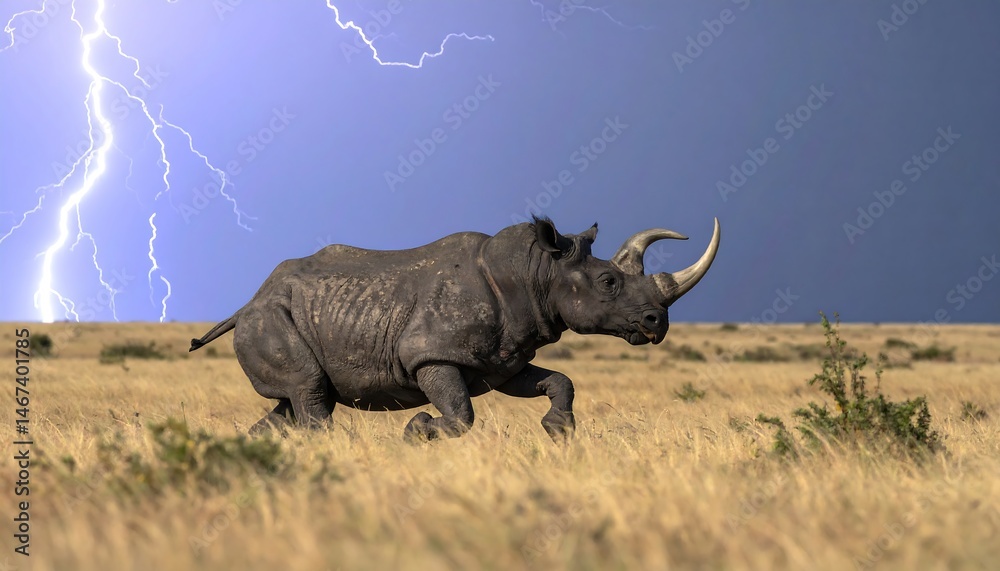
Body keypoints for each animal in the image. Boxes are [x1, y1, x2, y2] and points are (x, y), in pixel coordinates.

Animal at [190, 217, 720, 441]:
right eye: (608, 282)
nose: (657, 323)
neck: (537, 273)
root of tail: (246, 303)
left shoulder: (505, 360)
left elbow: (558, 381)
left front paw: (558, 431)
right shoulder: (431, 353)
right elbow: (461, 415)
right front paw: (418, 430)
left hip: (284, 315)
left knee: (295, 402)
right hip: (270, 317)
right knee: (311, 395)